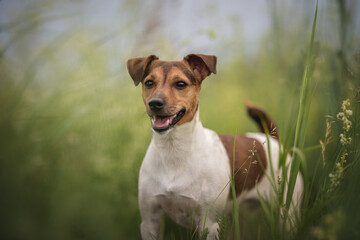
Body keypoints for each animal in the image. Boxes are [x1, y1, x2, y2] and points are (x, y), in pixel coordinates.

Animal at [126, 54, 304, 240]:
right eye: (149, 83)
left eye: (180, 84)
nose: (155, 103)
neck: (174, 151)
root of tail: (271, 139)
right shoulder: (150, 221)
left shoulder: (209, 223)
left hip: (288, 214)